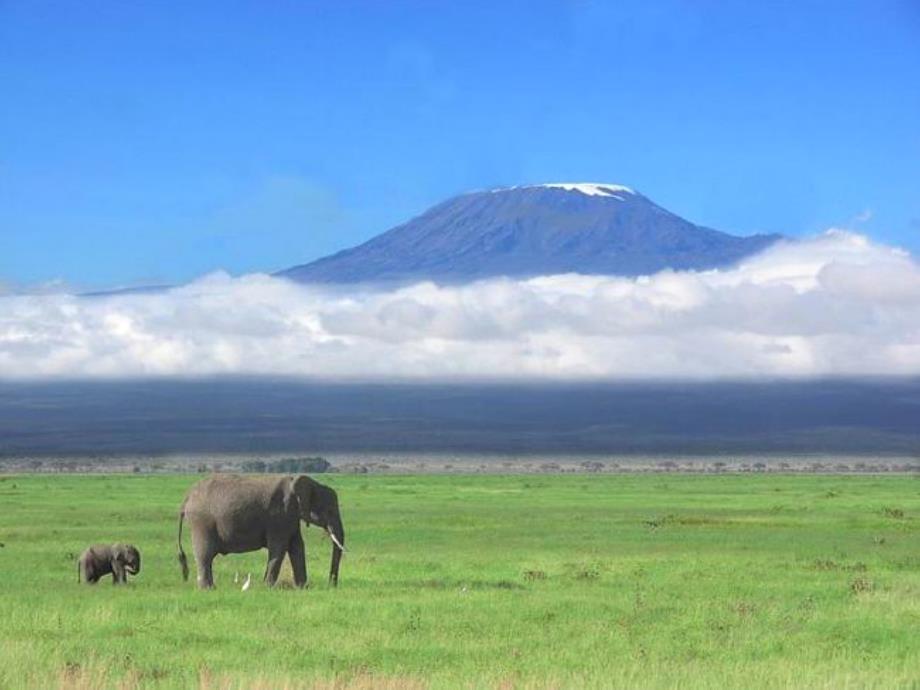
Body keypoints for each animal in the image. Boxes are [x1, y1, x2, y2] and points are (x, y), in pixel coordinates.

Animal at [176, 472, 344, 592]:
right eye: (329, 511)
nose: (332, 585)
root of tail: (187, 498)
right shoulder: (280, 515)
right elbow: (279, 548)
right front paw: (268, 588)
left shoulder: (290, 517)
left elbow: (297, 547)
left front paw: (303, 588)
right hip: (201, 522)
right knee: (205, 555)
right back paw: (208, 589)